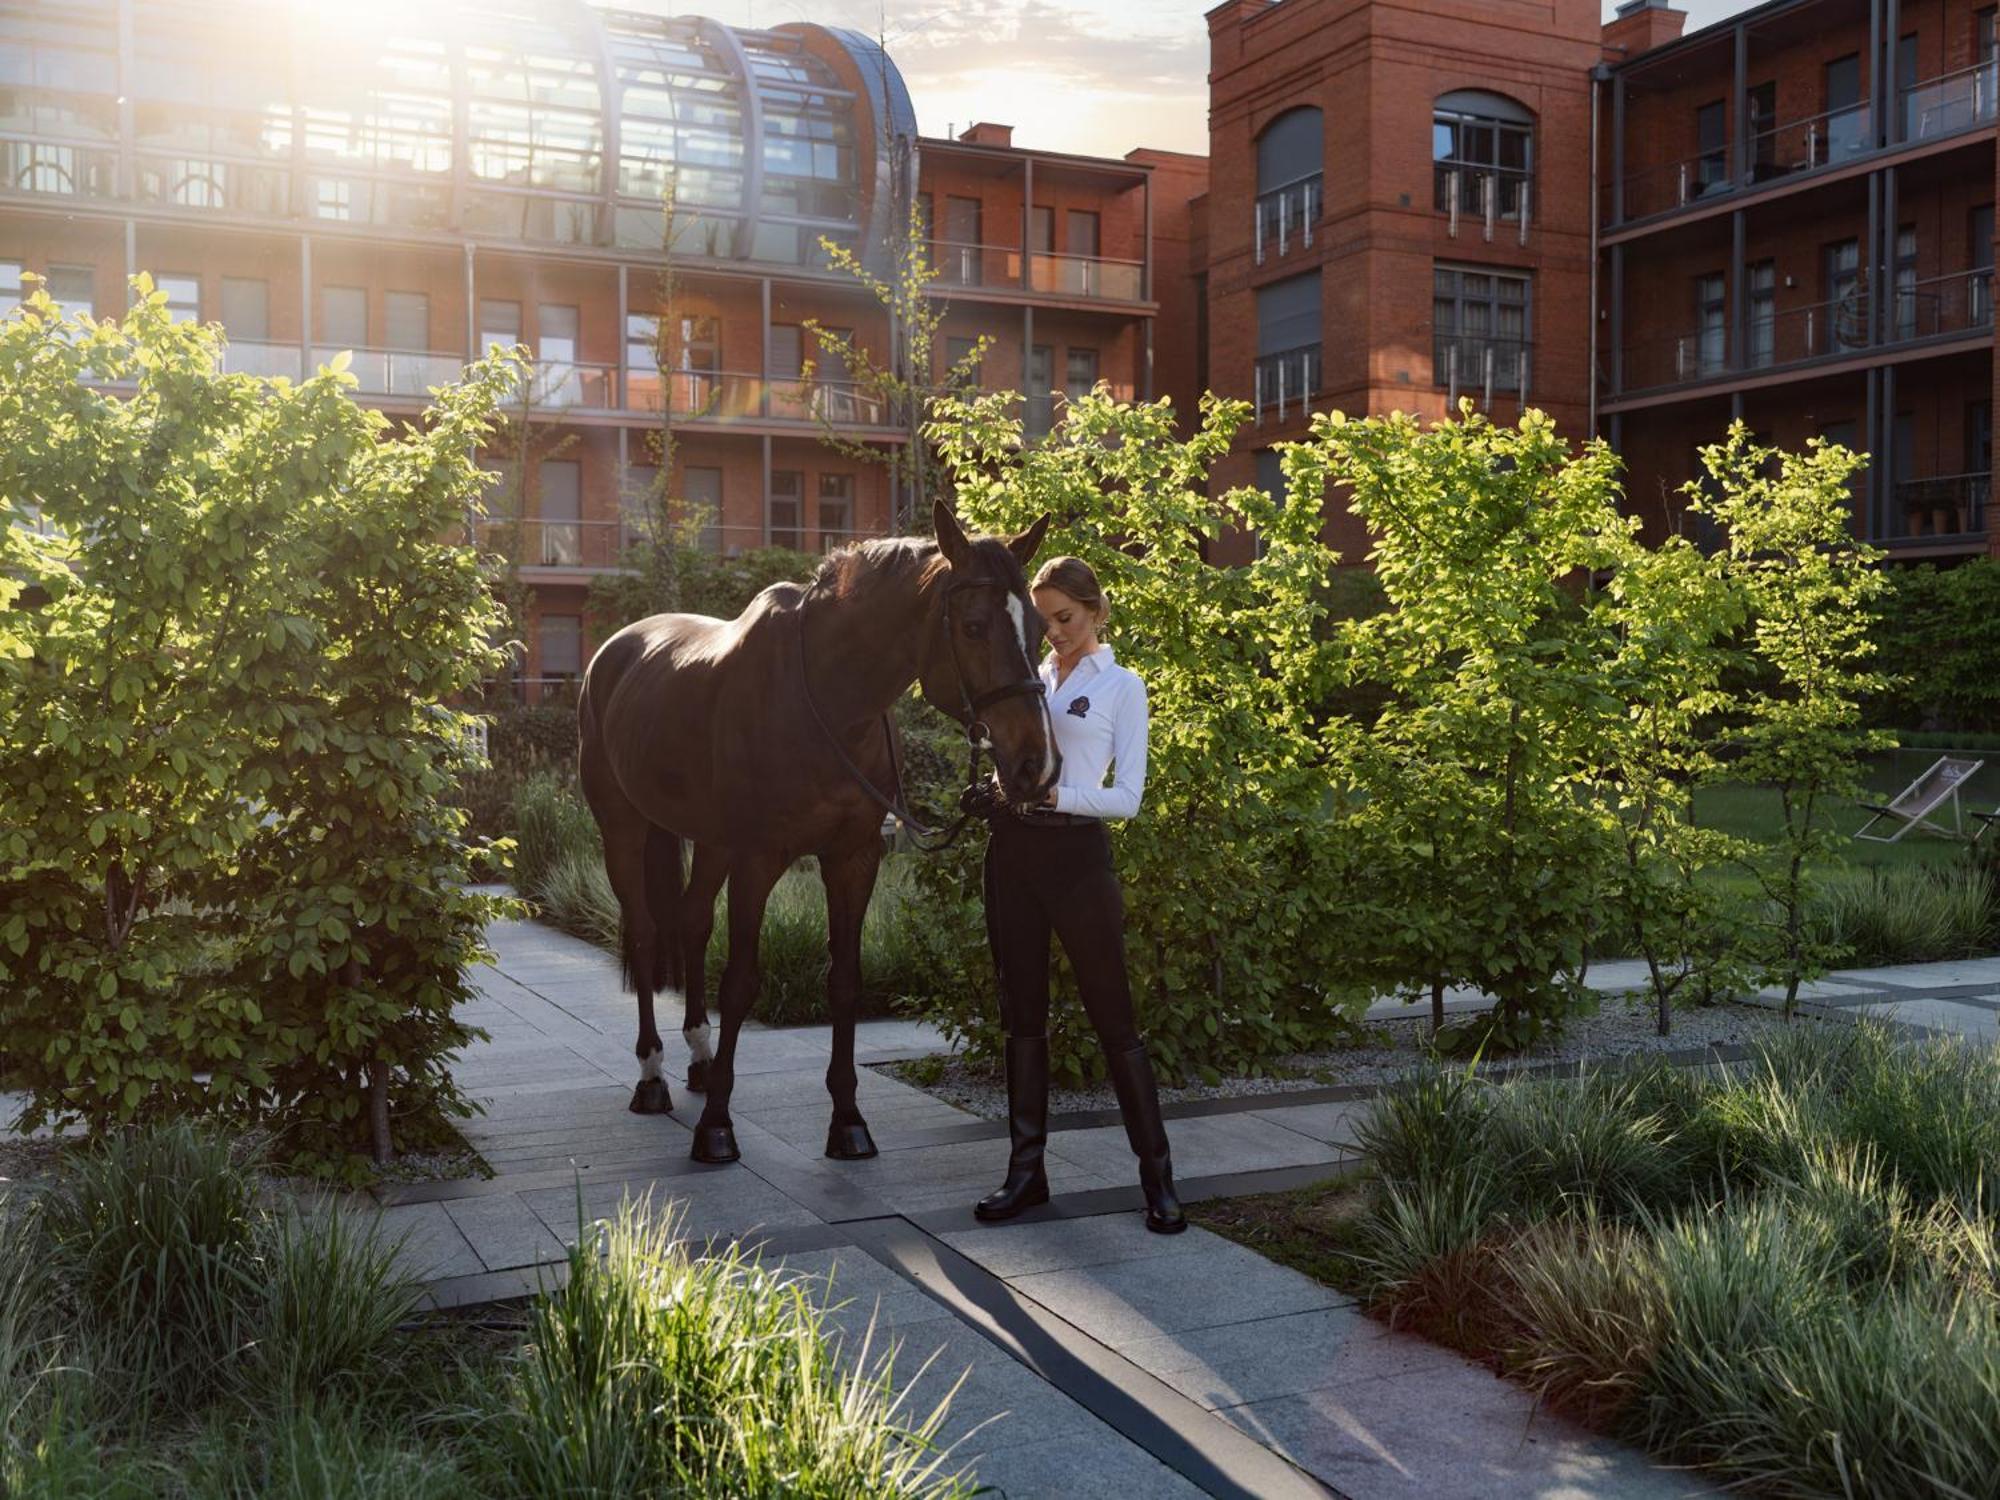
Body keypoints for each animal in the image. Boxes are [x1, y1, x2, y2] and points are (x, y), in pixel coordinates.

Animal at [576, 502, 1056, 1160]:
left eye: (1040, 628)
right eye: (975, 626)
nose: (1035, 764)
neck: (828, 701)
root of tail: (613, 651)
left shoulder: (853, 857)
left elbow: (845, 980)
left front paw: (848, 1119)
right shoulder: (758, 858)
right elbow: (741, 982)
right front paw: (717, 1127)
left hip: (712, 841)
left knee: (693, 922)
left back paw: (699, 1058)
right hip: (623, 827)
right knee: (649, 933)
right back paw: (652, 1076)